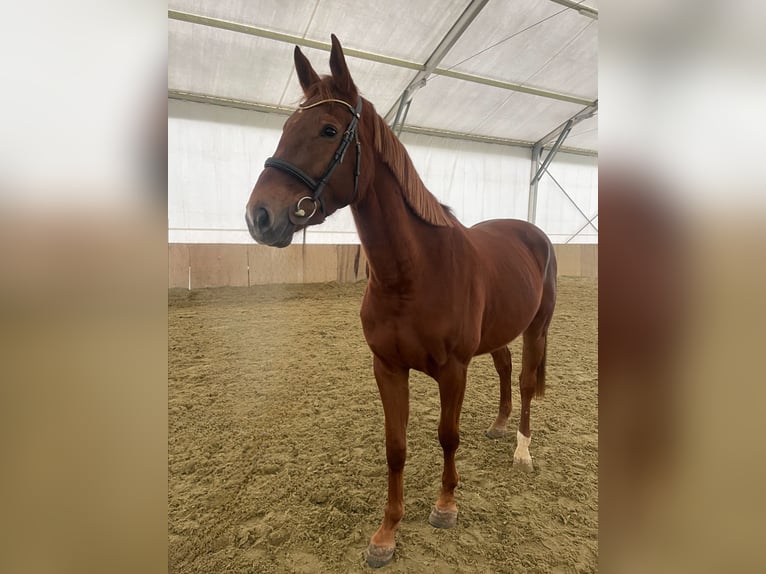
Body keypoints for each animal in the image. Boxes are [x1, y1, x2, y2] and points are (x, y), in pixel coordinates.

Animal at [245, 35, 557, 568]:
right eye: (286, 128)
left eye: (328, 130)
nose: (259, 216)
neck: (413, 274)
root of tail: (530, 231)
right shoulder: (387, 367)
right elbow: (396, 446)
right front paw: (386, 533)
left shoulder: (453, 370)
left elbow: (447, 437)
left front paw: (445, 506)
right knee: (504, 364)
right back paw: (498, 426)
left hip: (537, 328)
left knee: (524, 379)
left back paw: (521, 451)